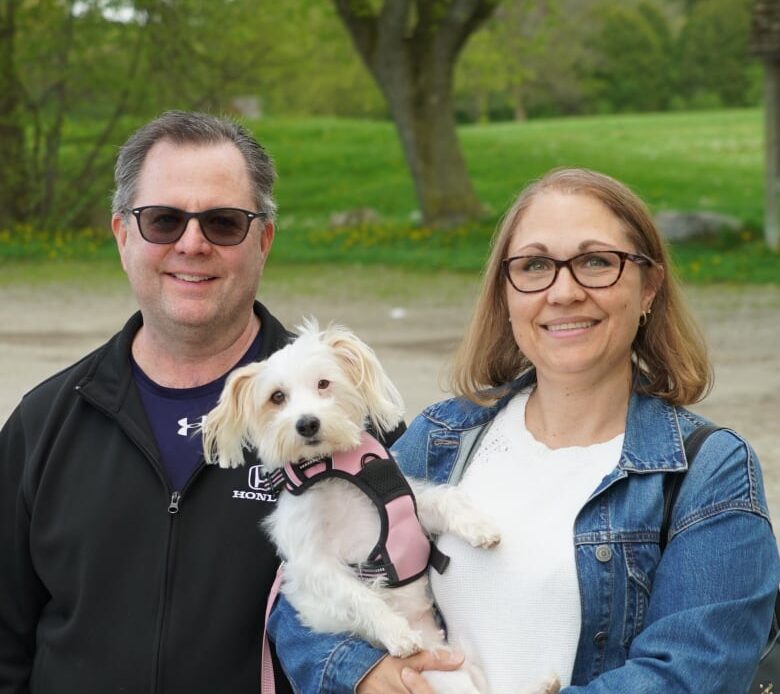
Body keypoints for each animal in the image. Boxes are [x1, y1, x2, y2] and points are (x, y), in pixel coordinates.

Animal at [198, 320, 556, 694]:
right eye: (277, 397)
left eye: (323, 383)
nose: (307, 423)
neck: (331, 471)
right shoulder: (314, 562)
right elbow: (360, 596)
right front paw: (397, 633)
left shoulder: (409, 504)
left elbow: (443, 499)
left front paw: (480, 527)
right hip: (439, 677)